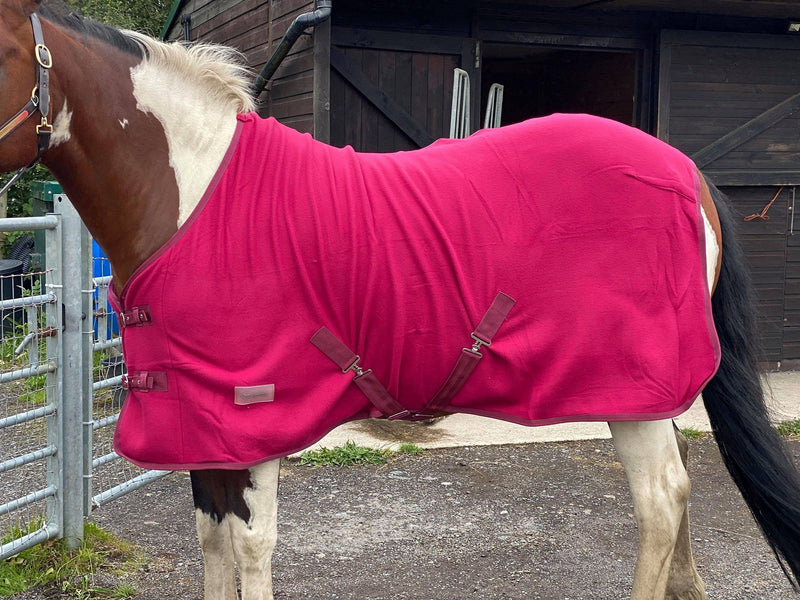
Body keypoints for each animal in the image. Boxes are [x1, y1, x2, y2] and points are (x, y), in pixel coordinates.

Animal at [1, 1, 800, 600]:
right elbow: (212, 542)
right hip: (649, 396)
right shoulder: (204, 427)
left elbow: (251, 548)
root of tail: (685, 171)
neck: (193, 193)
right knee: (680, 485)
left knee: (661, 501)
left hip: (634, 390)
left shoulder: (252, 418)